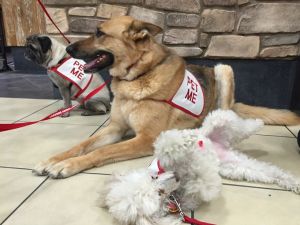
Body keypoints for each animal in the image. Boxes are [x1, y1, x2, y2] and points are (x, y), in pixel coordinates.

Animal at [32, 15, 300, 178]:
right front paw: (54, 160)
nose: (68, 49)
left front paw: (67, 165)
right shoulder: (115, 129)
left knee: (222, 117)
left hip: (224, 69)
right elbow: (82, 145)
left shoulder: (145, 138)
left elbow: (100, 153)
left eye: (99, 33)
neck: (136, 76)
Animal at [99, 110, 300, 225]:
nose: (176, 176)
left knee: (239, 124)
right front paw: (195, 169)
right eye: (159, 194)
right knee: (271, 172)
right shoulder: (201, 191)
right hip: (238, 167)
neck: (177, 195)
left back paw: (258, 122)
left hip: (219, 122)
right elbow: (204, 181)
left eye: (153, 177)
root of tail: (220, 146)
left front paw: (181, 148)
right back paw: (294, 182)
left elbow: (166, 144)